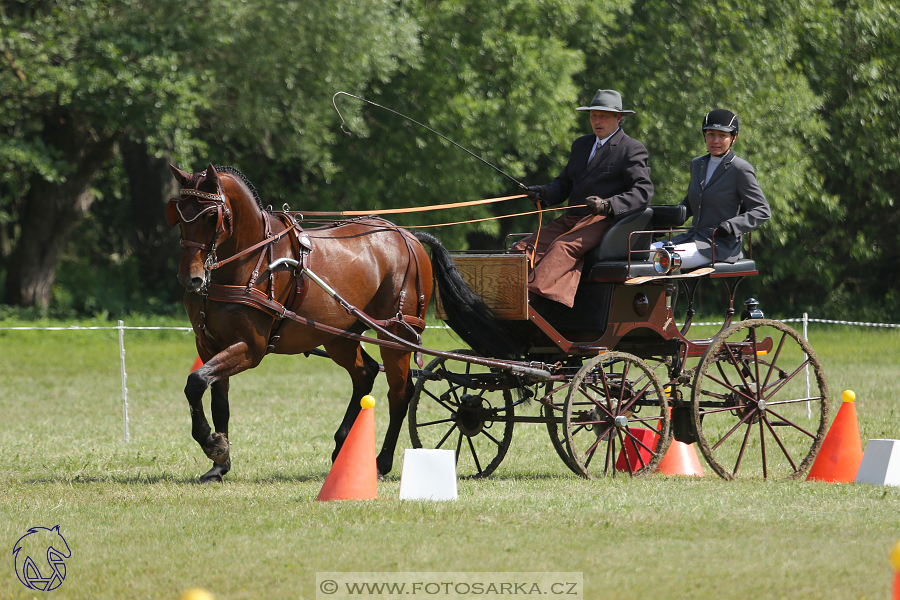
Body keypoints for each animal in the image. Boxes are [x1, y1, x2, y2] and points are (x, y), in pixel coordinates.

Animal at [167, 164, 520, 482]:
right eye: (178, 215)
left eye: (210, 216)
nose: (189, 278)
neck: (250, 260)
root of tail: (409, 235)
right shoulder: (210, 343)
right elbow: (217, 399)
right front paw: (219, 461)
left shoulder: (250, 348)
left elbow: (195, 382)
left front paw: (212, 444)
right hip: (339, 337)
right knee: (366, 373)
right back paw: (343, 448)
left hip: (396, 333)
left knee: (400, 393)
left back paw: (381, 463)